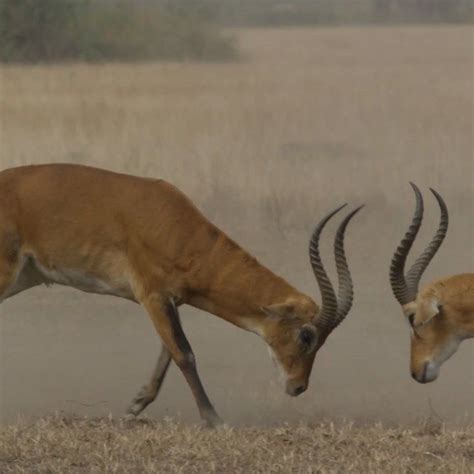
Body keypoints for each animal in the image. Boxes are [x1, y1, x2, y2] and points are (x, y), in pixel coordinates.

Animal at [0, 163, 362, 426]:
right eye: (306, 335)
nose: (298, 387)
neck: (175, 228)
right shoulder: (152, 296)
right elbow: (185, 354)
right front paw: (214, 419)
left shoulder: (169, 302)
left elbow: (168, 352)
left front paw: (135, 406)